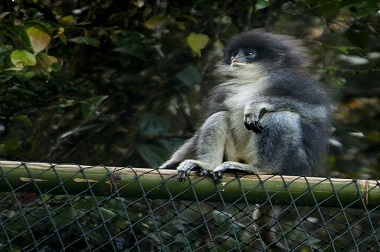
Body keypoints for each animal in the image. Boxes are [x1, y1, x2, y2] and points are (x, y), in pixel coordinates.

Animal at [159, 29, 332, 183]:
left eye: (249, 53)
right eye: (235, 53)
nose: (236, 58)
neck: (254, 79)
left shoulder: (292, 81)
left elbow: (317, 110)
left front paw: (256, 105)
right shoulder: (225, 91)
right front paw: (170, 163)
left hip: (295, 165)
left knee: (280, 115)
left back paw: (262, 168)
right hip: (236, 154)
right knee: (219, 116)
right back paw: (206, 165)